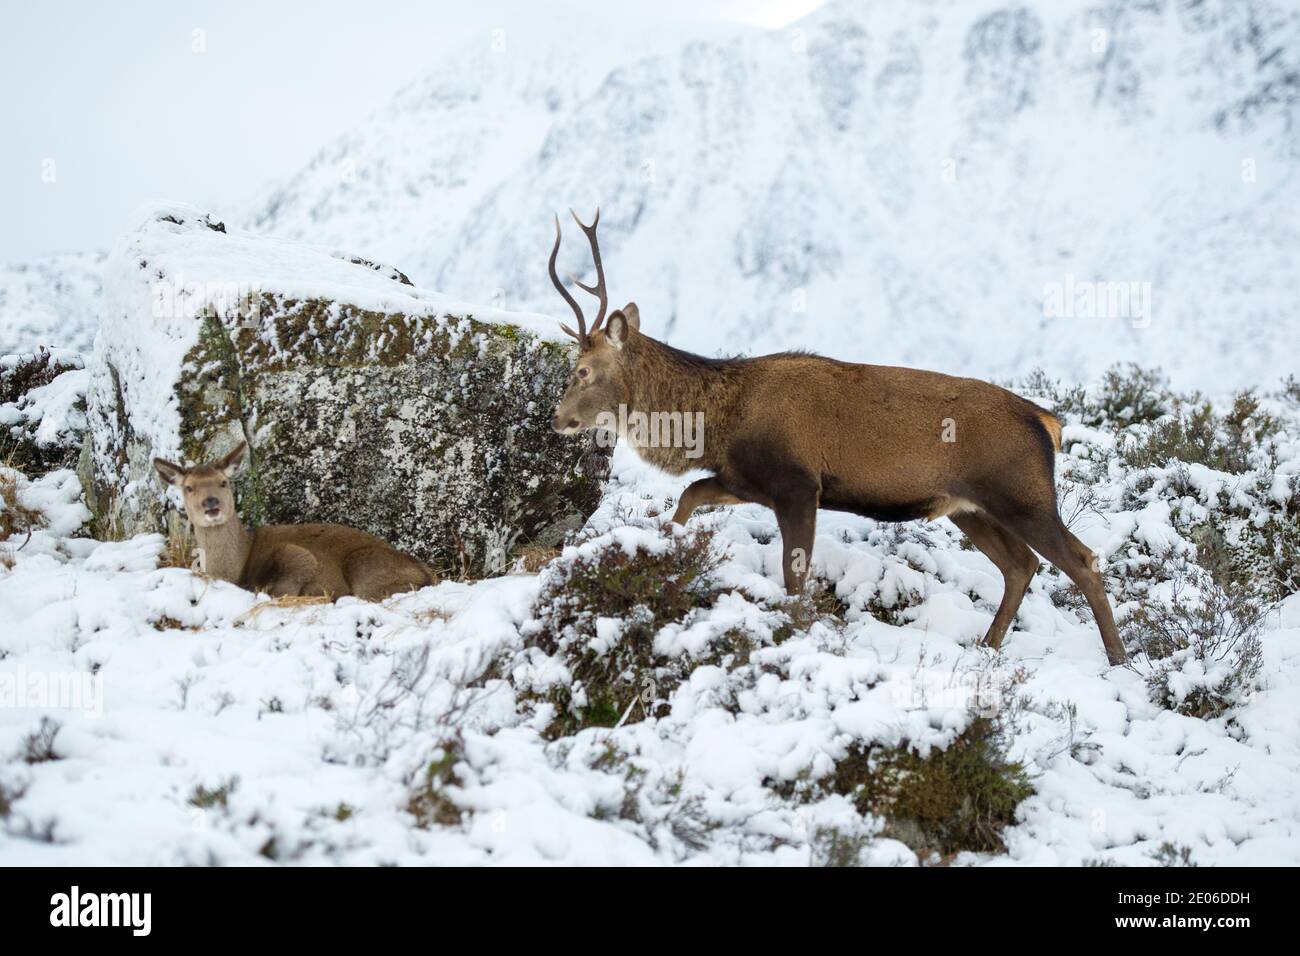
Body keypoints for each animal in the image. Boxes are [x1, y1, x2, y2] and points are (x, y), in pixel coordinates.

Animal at [152, 443, 435, 601]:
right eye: (188, 487)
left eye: (223, 482)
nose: (211, 503)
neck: (235, 568)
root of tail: (427, 574)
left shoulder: (296, 555)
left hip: (367, 566)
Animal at [545, 210, 1126, 665]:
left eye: (583, 371)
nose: (556, 419)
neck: (717, 423)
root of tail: (1048, 423)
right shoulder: (744, 479)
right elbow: (689, 496)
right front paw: (669, 552)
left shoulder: (799, 484)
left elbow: (793, 575)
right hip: (970, 507)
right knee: (1020, 566)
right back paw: (988, 646)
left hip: (1022, 494)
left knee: (1081, 560)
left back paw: (1118, 660)